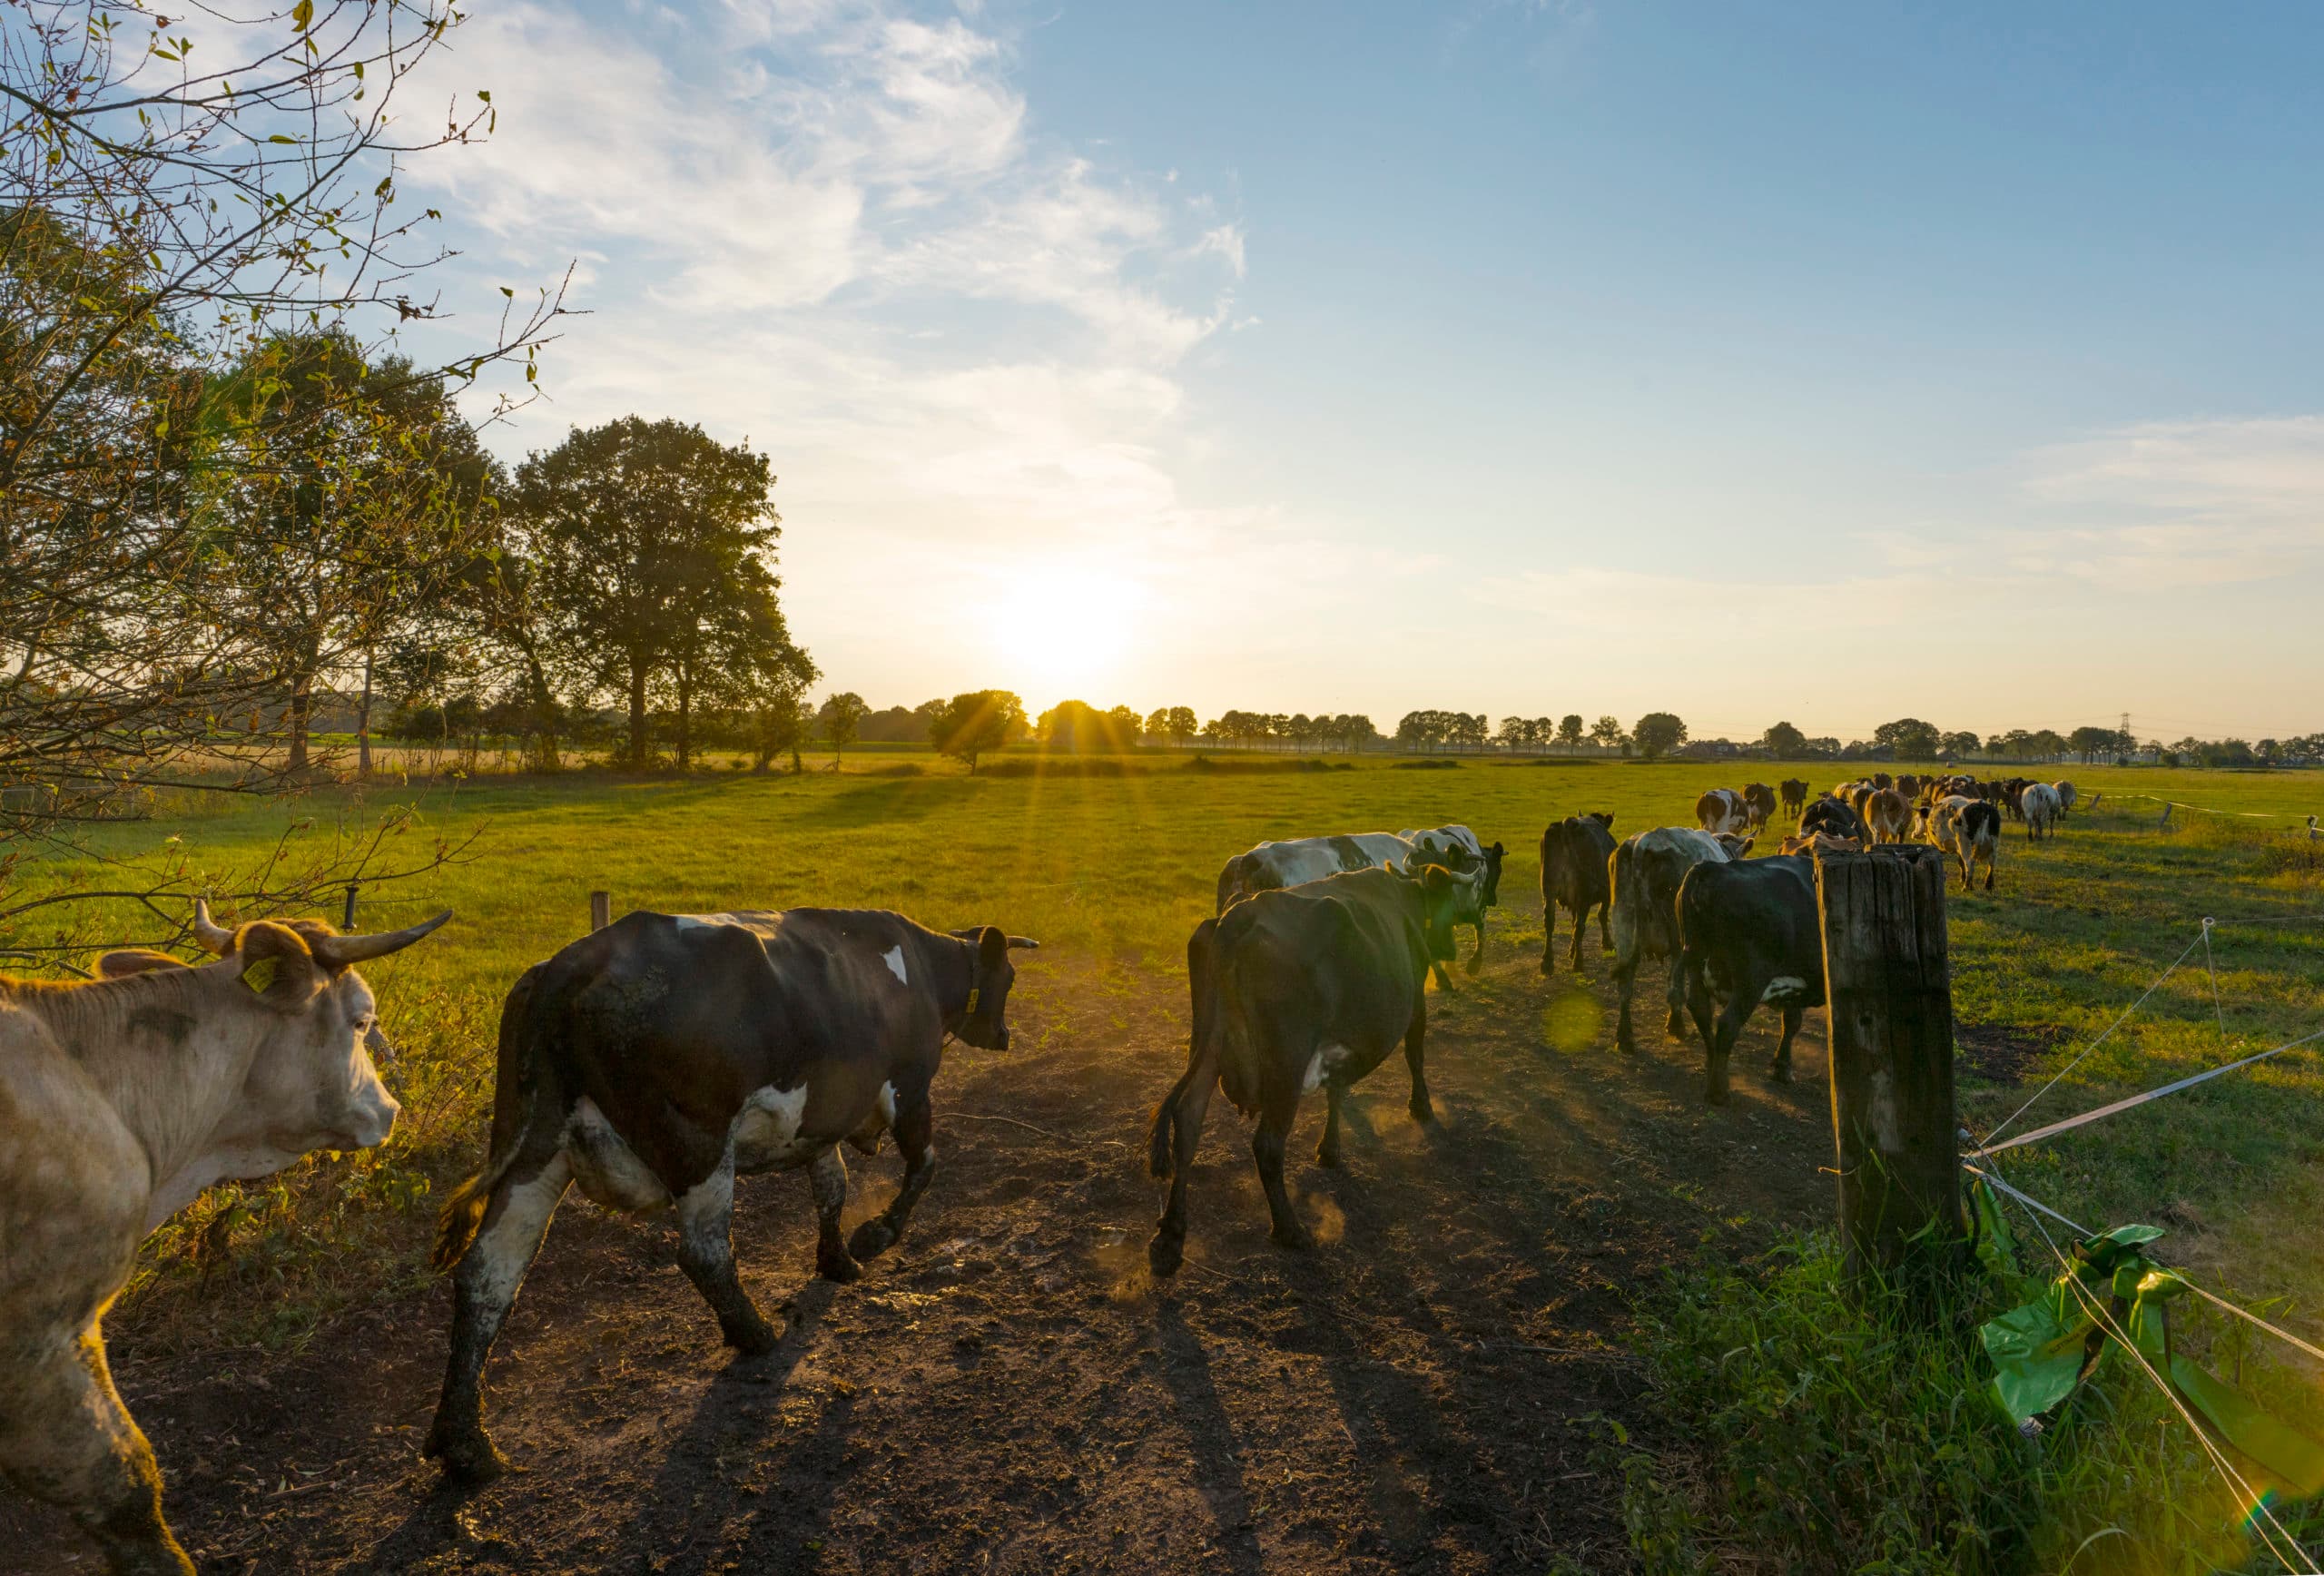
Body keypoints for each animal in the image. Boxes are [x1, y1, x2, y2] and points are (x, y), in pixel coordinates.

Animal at [423, 908, 1037, 1485]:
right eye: (1007, 977)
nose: (1005, 1036)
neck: (922, 966)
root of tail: (568, 965)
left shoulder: (821, 1118)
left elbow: (831, 1187)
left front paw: (836, 1259)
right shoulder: (910, 1088)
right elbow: (924, 1166)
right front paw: (877, 1234)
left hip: (534, 1154)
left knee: (489, 1277)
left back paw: (466, 1445)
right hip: (699, 1146)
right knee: (704, 1252)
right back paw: (754, 1333)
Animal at [1145, 864, 1469, 1275]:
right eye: (1446, 902)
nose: (1451, 951)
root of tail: (1238, 915)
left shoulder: (1337, 1041)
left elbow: (1338, 1089)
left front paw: (1330, 1149)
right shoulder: (1416, 1001)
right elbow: (1415, 1054)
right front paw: (1421, 1107)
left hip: (1207, 1044)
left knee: (1188, 1121)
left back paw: (1172, 1230)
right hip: (1287, 1061)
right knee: (1267, 1145)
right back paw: (1290, 1229)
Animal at [1537, 812, 1617, 974]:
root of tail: (1566, 825)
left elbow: (1573, 922)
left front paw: (1571, 950)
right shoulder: (1605, 895)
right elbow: (1602, 915)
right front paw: (1607, 943)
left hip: (1548, 890)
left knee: (1549, 922)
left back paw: (1547, 962)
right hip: (1583, 895)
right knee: (1580, 927)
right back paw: (1578, 962)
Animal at [1607, 827, 1750, 1053]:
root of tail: (1644, 842)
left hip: (1624, 925)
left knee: (1625, 985)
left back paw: (1625, 1037)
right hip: (1678, 939)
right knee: (1674, 986)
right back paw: (1676, 1025)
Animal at [1675, 854, 1822, 1103]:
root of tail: (1711, 868)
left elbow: (1792, 1021)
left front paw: (1782, 1068)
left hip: (1696, 962)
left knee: (1701, 1010)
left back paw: (1712, 1068)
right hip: (1750, 980)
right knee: (1728, 1023)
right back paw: (1719, 1091)